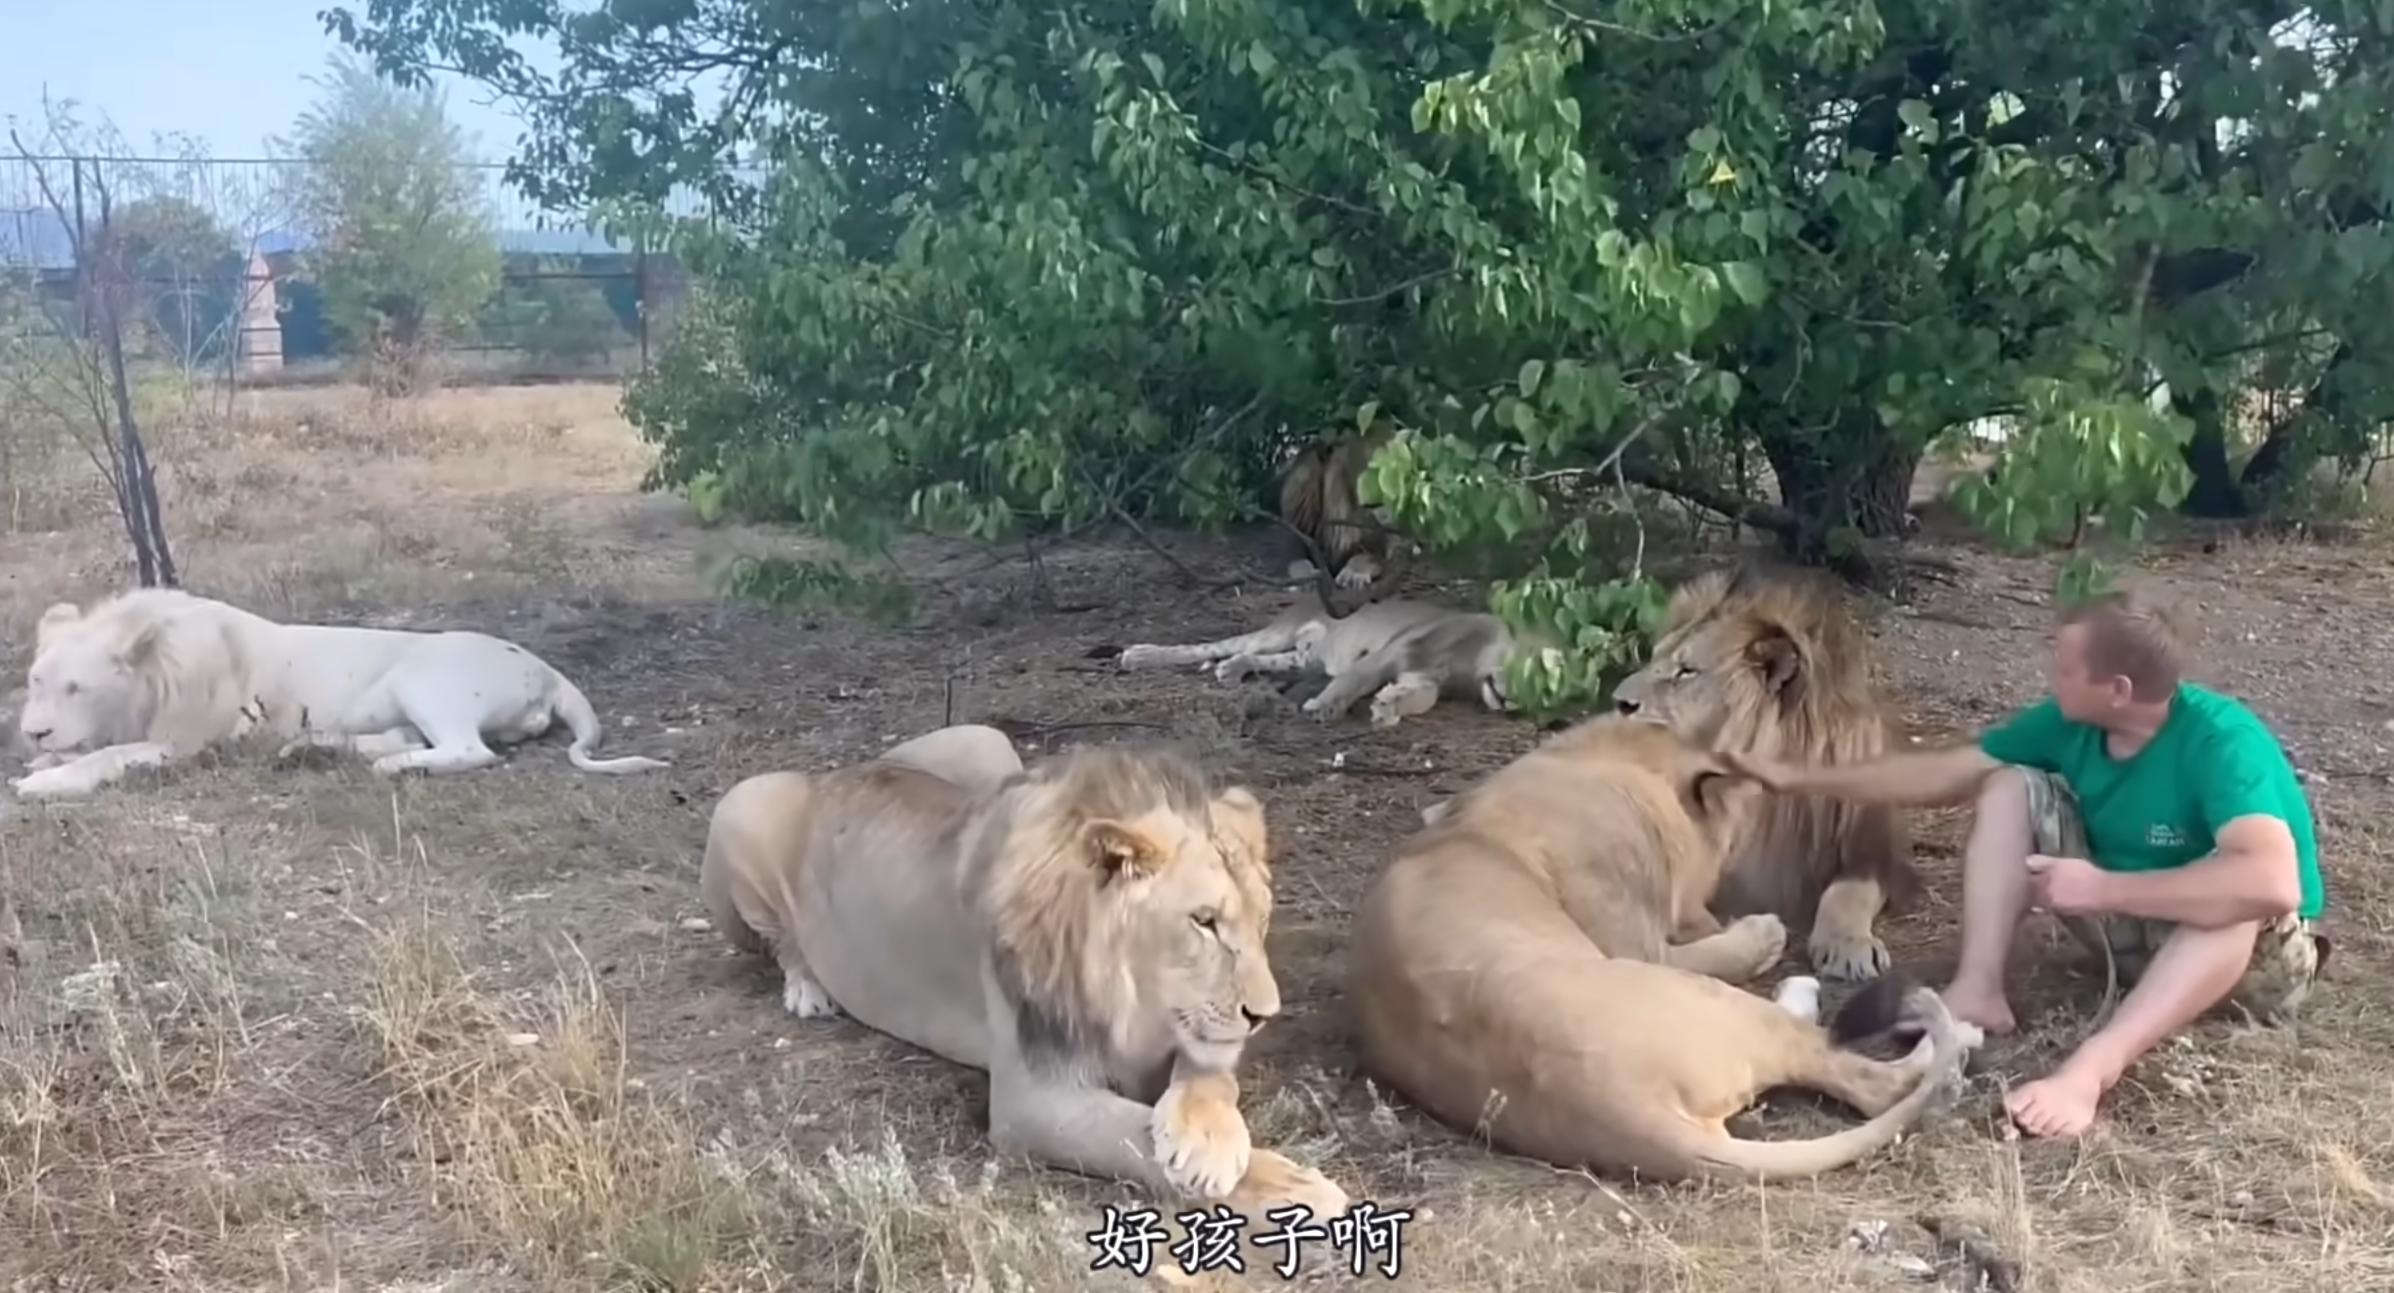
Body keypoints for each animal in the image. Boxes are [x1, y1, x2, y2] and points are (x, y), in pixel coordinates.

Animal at [14, 589, 670, 799]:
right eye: (36, 682)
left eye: (77, 687)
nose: (31, 731)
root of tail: (546, 668)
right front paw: (42, 760)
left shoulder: (186, 743)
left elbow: (106, 756)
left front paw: (42, 781)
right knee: (403, 738)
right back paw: (311, 750)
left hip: (422, 677)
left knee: (468, 750)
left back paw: (388, 769)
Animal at [699, 727, 1359, 1221]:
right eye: (1204, 922)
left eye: (1262, 918)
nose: (1264, 1015)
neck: (1137, 1000)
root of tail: (837, 772)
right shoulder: (1031, 1098)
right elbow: (1132, 1137)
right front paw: (1289, 1187)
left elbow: (1210, 1077)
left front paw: (1209, 1139)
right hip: (741, 804)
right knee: (781, 944)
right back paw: (808, 989)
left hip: (984, 741)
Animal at [1115, 593, 1532, 727]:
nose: (1514, 701)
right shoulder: (1395, 649)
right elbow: (1353, 679)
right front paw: (1324, 706)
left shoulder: (1423, 676)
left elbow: (1418, 698)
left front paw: (1387, 707)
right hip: (1277, 634)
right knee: (1207, 647)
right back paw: (1137, 655)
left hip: (1302, 660)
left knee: (1250, 655)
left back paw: (1231, 671)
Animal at [1608, 565, 1924, 981]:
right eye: (1652, 658)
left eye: (1686, 671)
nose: (1618, 702)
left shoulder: (1866, 848)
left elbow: (1849, 892)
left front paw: (1849, 946)